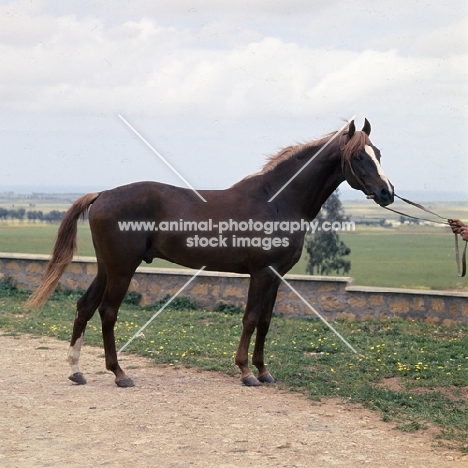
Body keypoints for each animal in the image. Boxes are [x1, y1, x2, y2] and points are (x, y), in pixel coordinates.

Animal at [28, 120, 394, 388]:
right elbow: (250, 318)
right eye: (359, 157)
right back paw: (119, 374)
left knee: (85, 306)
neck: (276, 201)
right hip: (122, 269)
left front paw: (264, 371)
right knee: (107, 311)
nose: (387, 193)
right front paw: (246, 372)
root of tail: (102, 194)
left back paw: (76, 371)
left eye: (378, 153)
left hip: (107, 267)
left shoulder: (276, 277)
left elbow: (265, 321)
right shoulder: (261, 273)